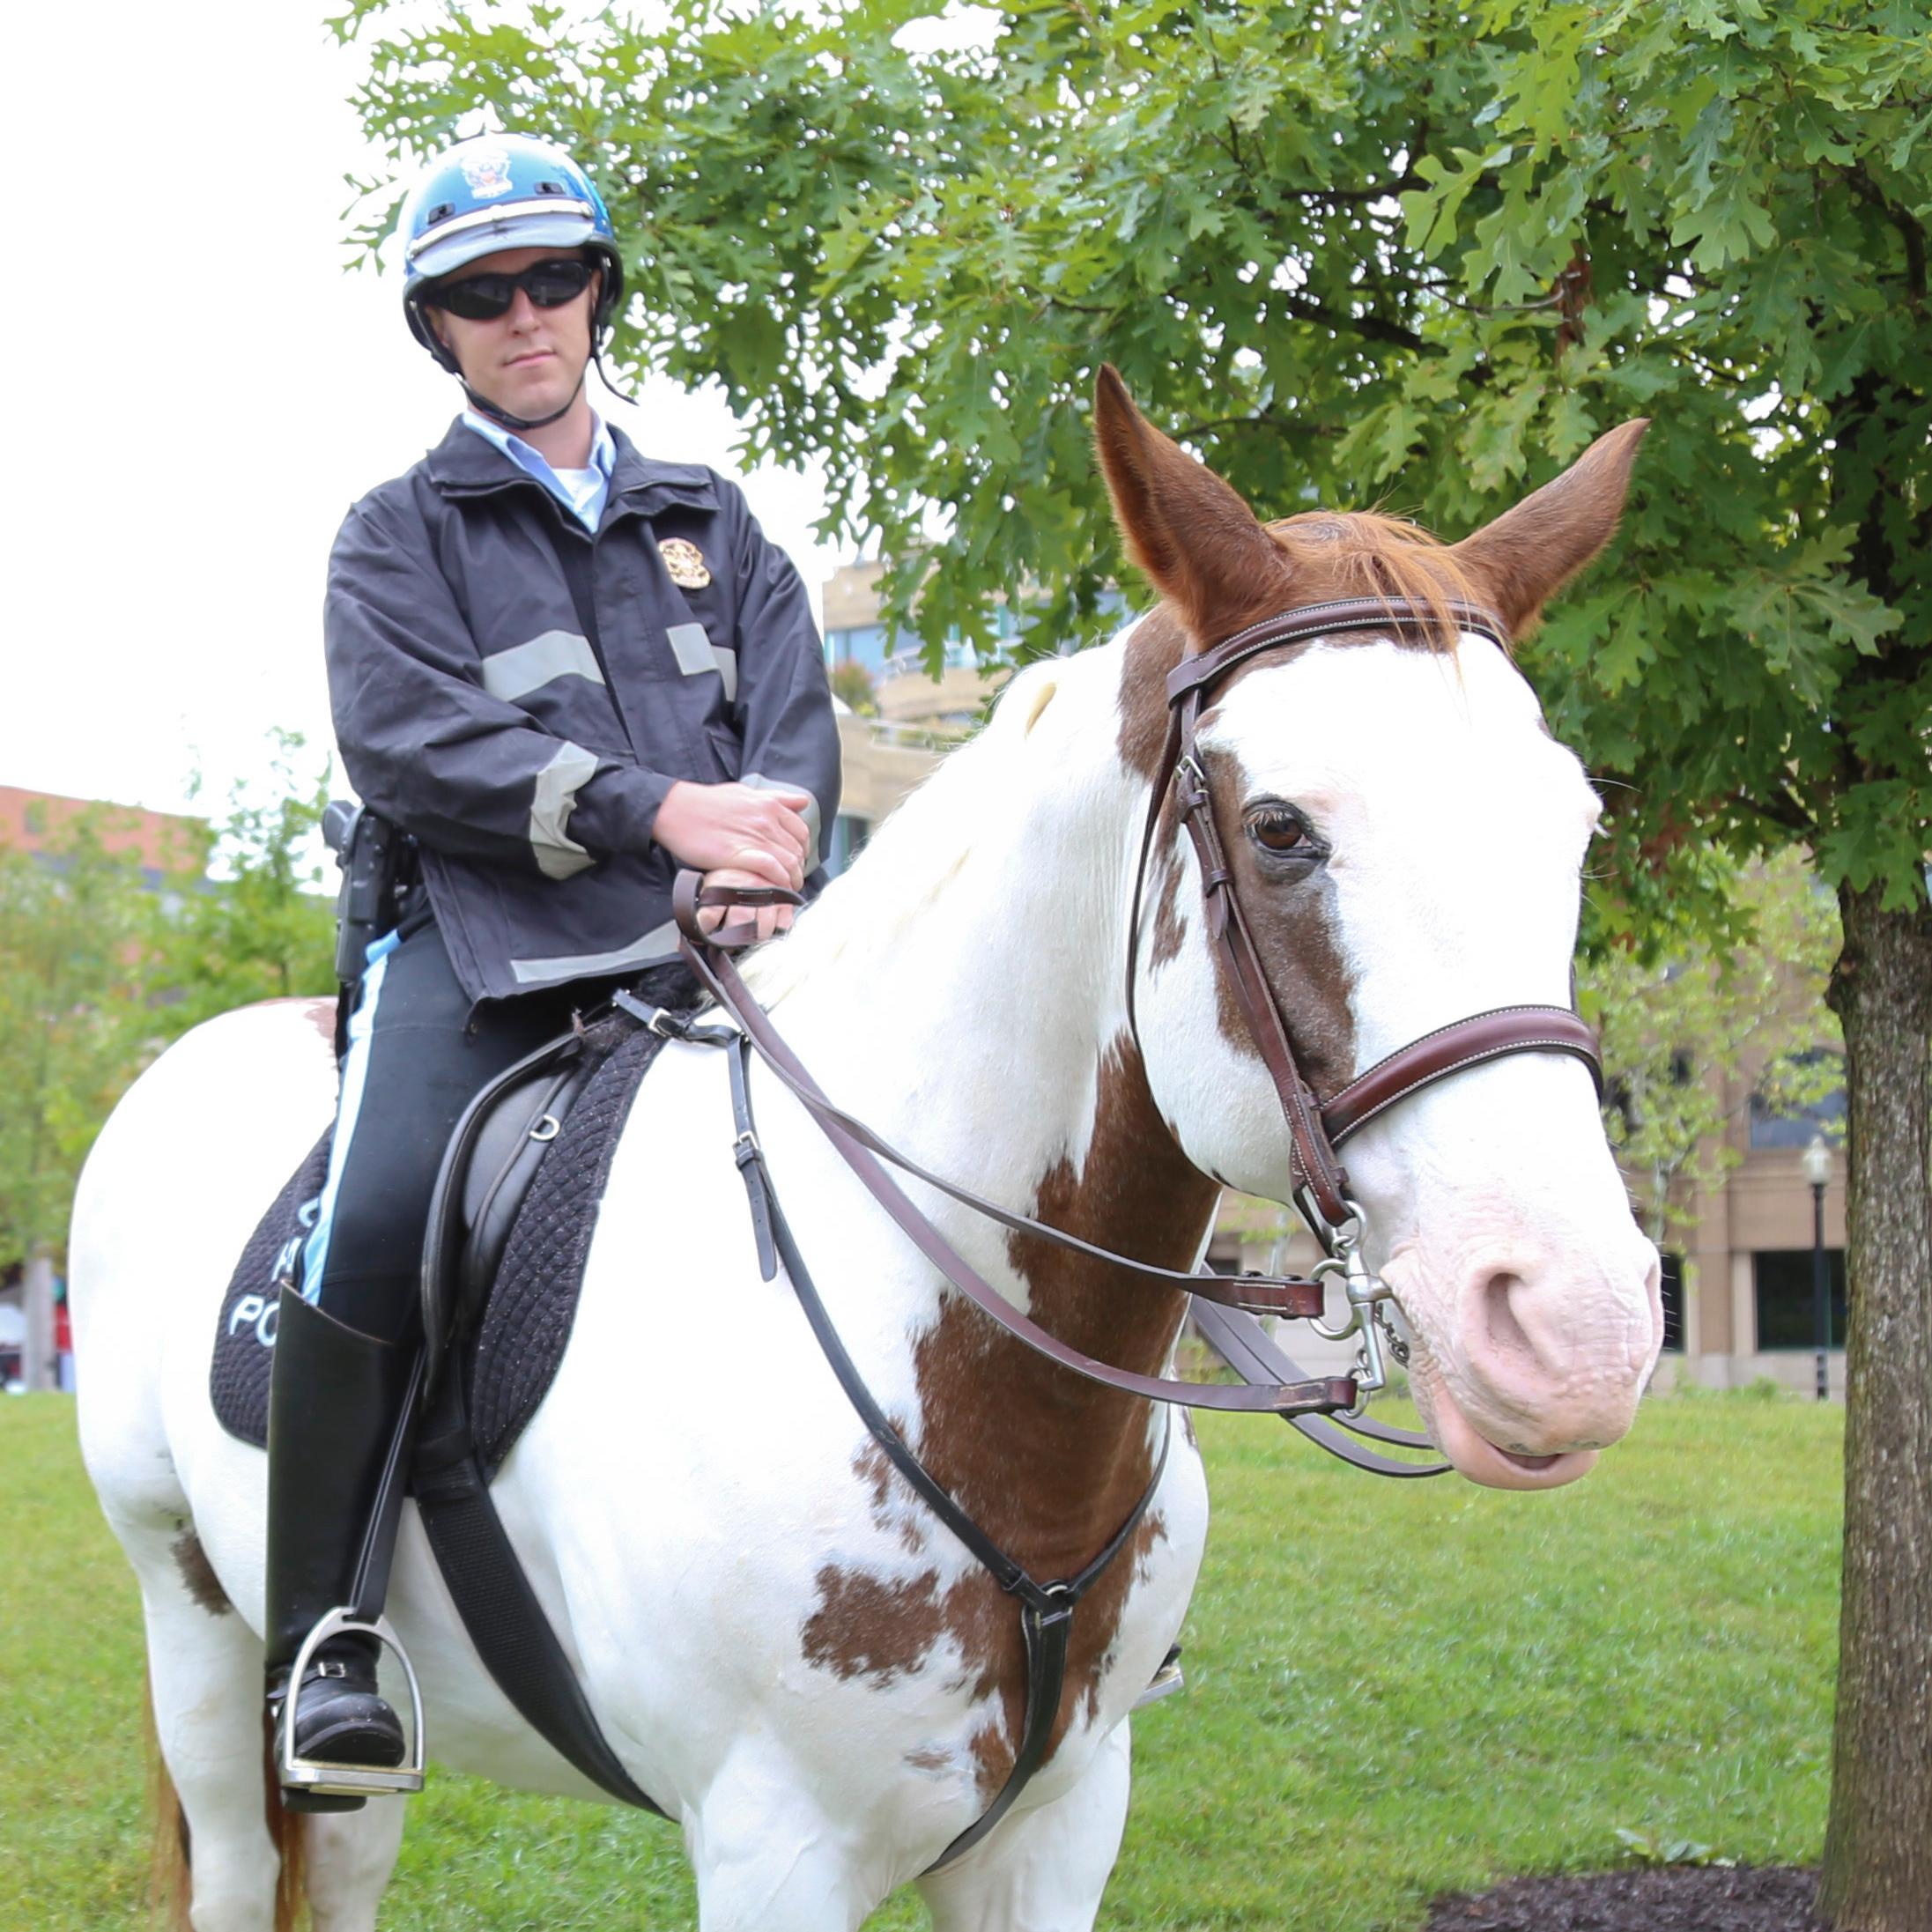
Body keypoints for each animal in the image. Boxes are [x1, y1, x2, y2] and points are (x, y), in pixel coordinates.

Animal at [71, 370, 1663, 1932]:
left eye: (1576, 826)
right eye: (1279, 828)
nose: (1575, 1328)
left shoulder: (1056, 1830)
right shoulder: (773, 1847)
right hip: (196, 1631)